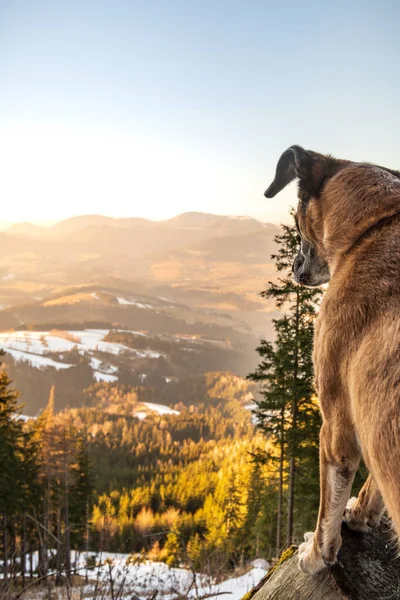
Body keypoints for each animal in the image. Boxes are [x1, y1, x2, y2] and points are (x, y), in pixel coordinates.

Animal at [266, 146, 400, 576]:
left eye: (296, 217)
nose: (294, 266)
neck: (372, 227)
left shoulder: (338, 425)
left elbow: (328, 512)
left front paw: (314, 556)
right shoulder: (371, 420)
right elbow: (372, 486)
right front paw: (360, 515)